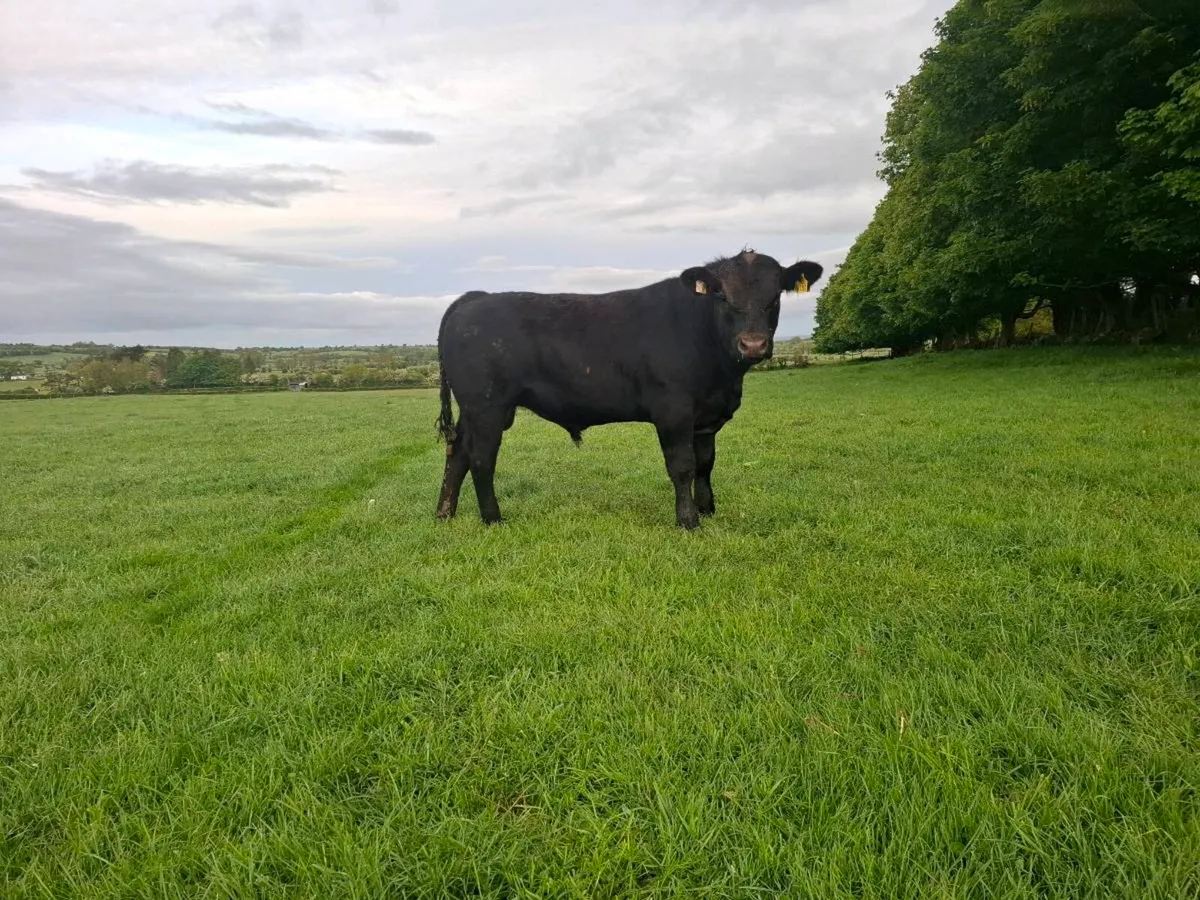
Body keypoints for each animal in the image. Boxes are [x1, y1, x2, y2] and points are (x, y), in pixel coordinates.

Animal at [434, 249, 823, 529]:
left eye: (775, 297)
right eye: (722, 296)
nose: (753, 344)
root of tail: (477, 297)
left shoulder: (706, 417)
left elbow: (705, 464)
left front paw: (708, 509)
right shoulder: (673, 411)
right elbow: (682, 465)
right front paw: (688, 521)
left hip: (477, 410)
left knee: (458, 453)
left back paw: (445, 514)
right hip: (487, 406)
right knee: (481, 457)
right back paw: (493, 519)